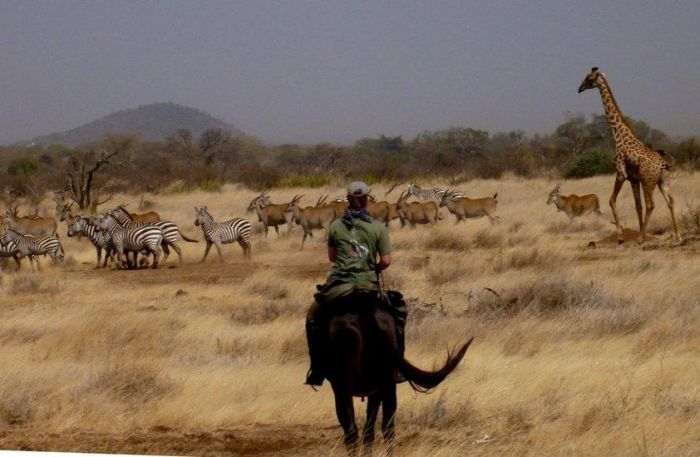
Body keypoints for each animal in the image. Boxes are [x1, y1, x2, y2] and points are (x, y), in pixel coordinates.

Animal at [576, 67, 680, 242]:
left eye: (588, 78)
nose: (579, 88)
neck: (619, 137)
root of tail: (663, 164)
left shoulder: (621, 172)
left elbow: (611, 200)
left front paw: (620, 235)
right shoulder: (633, 179)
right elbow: (637, 206)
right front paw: (635, 231)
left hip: (648, 180)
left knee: (651, 204)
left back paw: (641, 238)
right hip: (662, 181)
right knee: (670, 201)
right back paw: (678, 236)